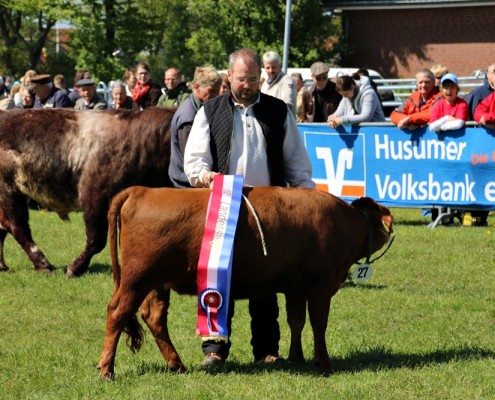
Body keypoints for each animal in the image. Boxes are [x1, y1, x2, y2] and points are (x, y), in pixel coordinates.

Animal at [0, 106, 174, 276]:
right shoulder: (95, 197)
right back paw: (43, 264)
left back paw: (3, 266)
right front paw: (76, 267)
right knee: (17, 227)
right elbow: (96, 240)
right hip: (9, 192)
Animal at [98, 184, 396, 378]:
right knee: (118, 312)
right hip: (137, 277)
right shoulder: (320, 284)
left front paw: (296, 357)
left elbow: (296, 321)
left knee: (154, 317)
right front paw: (323, 363)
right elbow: (318, 324)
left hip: (156, 283)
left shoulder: (296, 287)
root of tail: (141, 190)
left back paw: (176, 365)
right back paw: (106, 370)